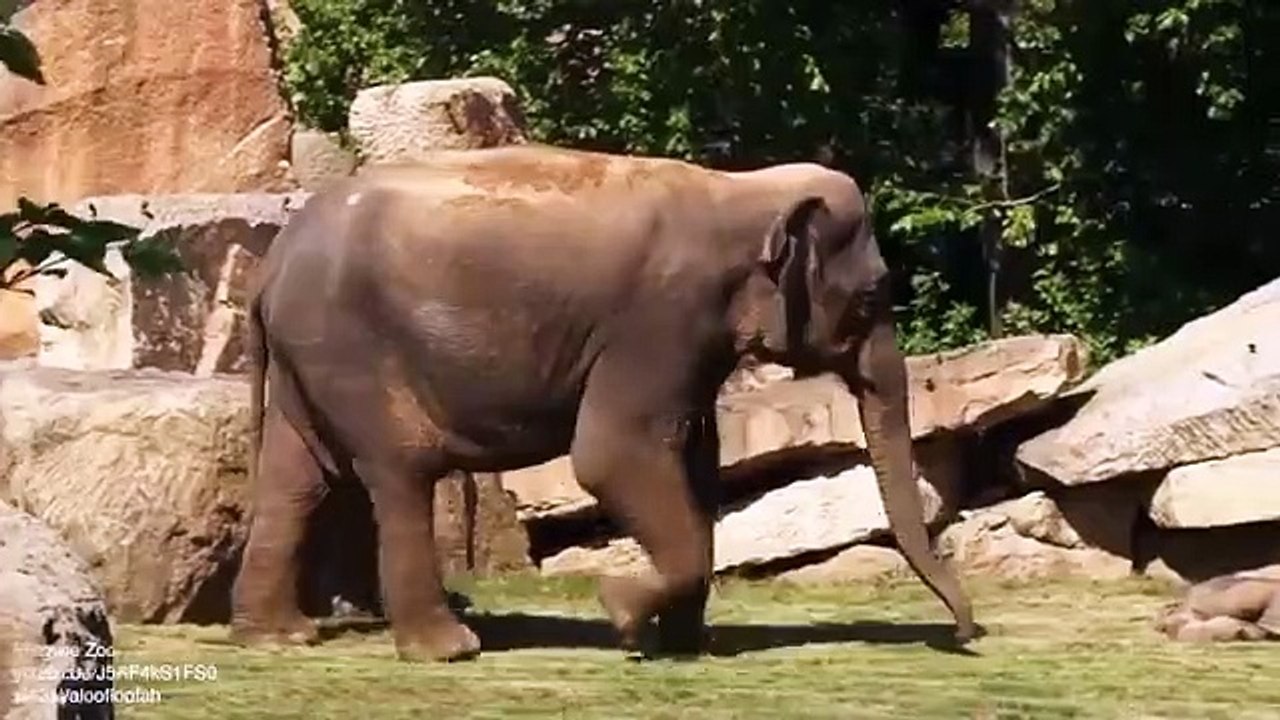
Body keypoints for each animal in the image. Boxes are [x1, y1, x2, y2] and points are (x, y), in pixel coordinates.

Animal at [228, 143, 975, 662]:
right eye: (872, 296)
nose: (968, 634)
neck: (741, 188)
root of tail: (273, 262)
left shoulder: (691, 341)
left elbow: (695, 462)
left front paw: (681, 643)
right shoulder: (661, 319)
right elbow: (612, 457)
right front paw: (620, 614)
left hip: (307, 358)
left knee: (296, 480)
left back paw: (280, 638)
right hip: (351, 349)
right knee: (401, 471)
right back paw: (450, 650)